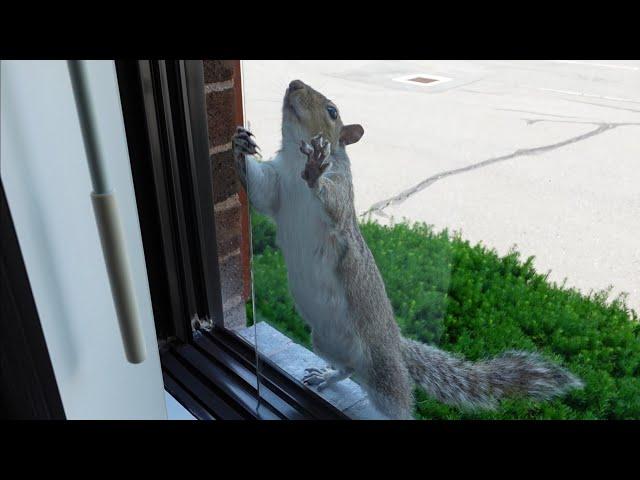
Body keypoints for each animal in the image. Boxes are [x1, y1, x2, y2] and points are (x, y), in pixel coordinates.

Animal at [232, 79, 584, 420]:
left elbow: (332, 203)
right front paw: (239, 145)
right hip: (325, 342)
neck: (294, 161)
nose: (294, 84)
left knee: (396, 402)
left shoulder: (341, 194)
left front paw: (316, 170)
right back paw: (327, 375)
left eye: (332, 111)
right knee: (348, 369)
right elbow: (260, 191)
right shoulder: (276, 185)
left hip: (384, 373)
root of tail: (396, 344)